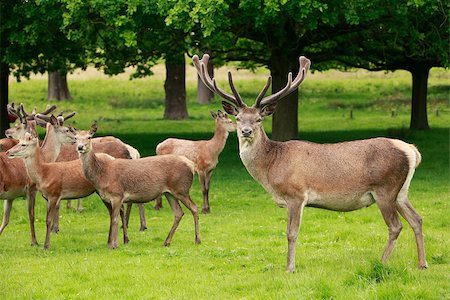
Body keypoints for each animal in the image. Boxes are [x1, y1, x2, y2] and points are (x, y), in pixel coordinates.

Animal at [192, 53, 428, 272]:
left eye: (259, 119)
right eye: (238, 118)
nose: (246, 131)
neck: (271, 168)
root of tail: (412, 151)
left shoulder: (296, 194)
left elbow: (291, 233)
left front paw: (289, 267)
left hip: (385, 189)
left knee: (396, 226)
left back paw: (382, 261)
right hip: (401, 191)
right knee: (417, 219)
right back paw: (422, 264)